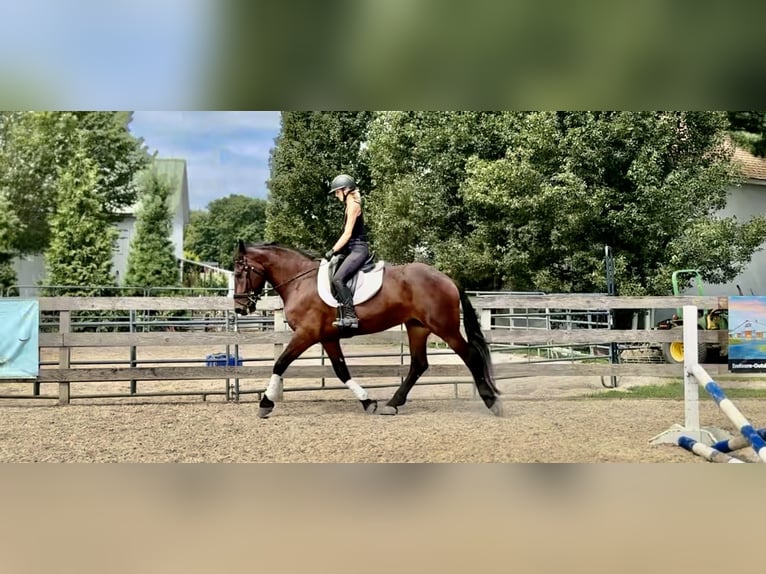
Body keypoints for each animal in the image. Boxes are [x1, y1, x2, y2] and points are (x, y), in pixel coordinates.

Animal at [233, 240, 502, 418]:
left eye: (239, 272)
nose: (239, 308)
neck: (300, 281)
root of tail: (447, 278)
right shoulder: (327, 337)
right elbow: (341, 370)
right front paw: (368, 402)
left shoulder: (306, 334)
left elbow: (280, 363)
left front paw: (266, 403)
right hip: (417, 328)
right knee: (418, 364)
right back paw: (392, 403)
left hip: (445, 328)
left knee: (470, 356)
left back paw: (492, 402)